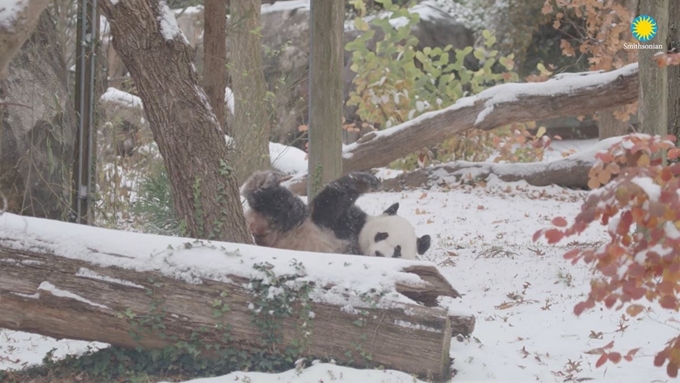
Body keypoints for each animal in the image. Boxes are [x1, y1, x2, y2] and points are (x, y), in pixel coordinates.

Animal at [243, 171, 430, 260]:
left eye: (398, 250)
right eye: (382, 235)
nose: (379, 254)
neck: (356, 239)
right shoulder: (344, 221)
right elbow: (328, 203)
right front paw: (365, 181)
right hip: (293, 219)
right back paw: (265, 181)